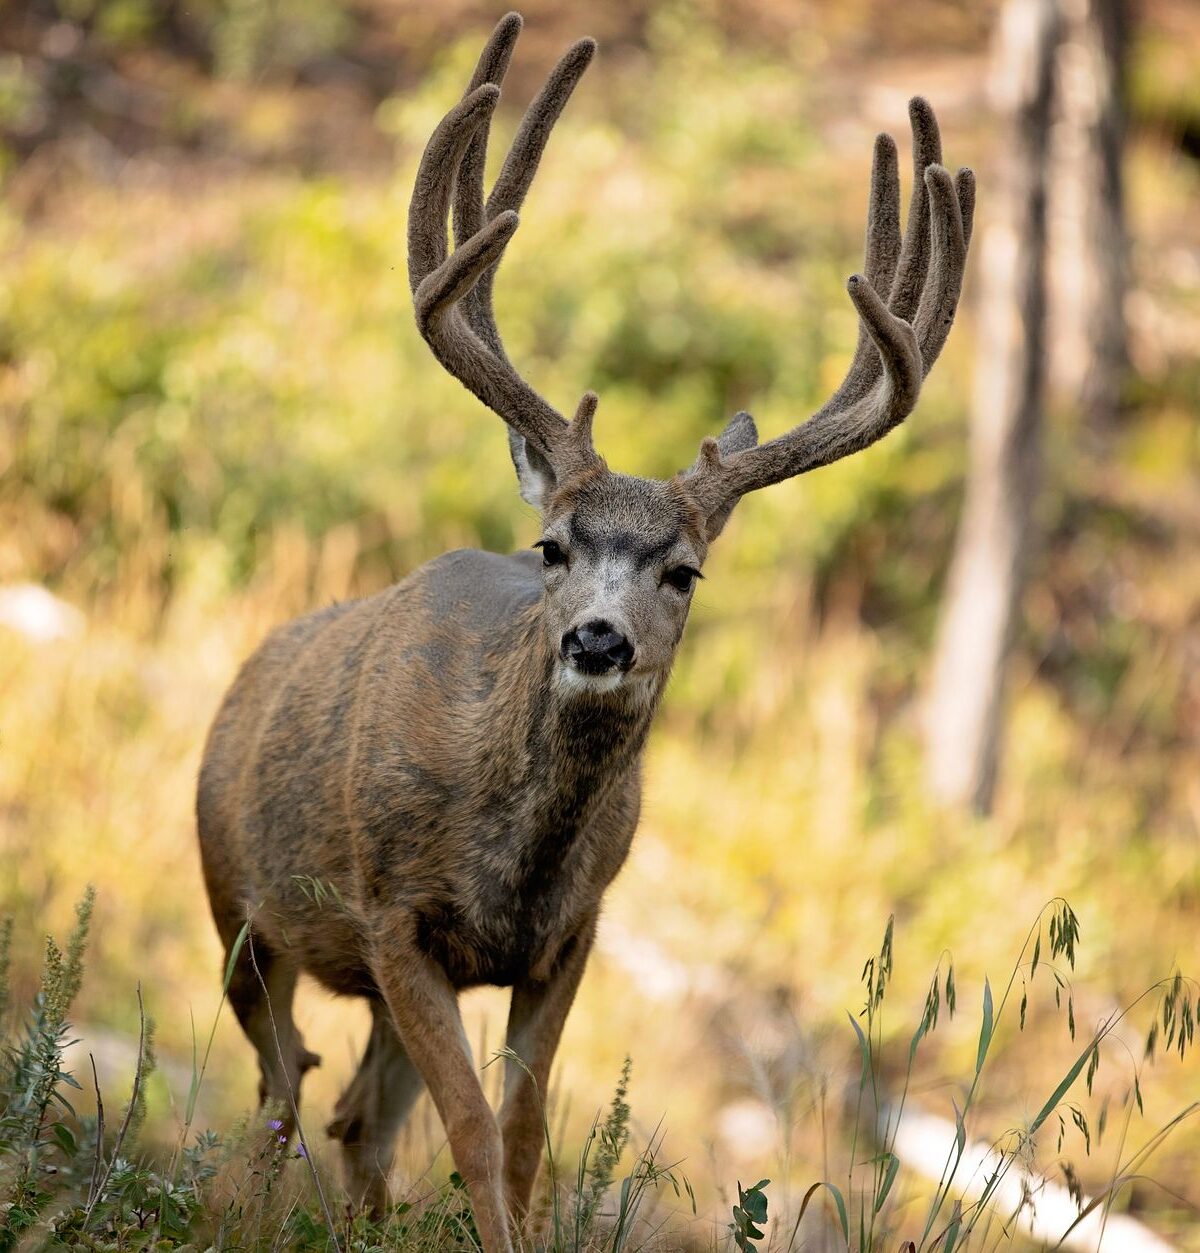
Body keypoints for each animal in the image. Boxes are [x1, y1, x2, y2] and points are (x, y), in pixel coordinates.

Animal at [196, 12, 973, 1253]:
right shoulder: (392, 913)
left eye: (685, 570)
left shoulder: (571, 935)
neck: (515, 851)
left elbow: (521, 1135)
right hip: (236, 905)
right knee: (281, 1089)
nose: (600, 641)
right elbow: (471, 1129)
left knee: (353, 1109)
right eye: (552, 545)